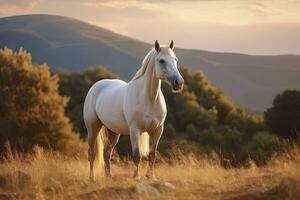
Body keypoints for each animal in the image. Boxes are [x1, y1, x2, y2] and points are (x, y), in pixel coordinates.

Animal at [83, 40, 184, 180]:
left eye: (175, 59)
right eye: (161, 60)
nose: (178, 83)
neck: (149, 99)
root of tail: (96, 86)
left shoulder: (157, 130)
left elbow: (152, 155)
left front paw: (151, 176)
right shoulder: (135, 130)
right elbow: (137, 155)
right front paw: (137, 177)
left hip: (113, 132)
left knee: (107, 152)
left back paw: (109, 176)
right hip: (93, 128)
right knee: (92, 153)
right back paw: (92, 177)